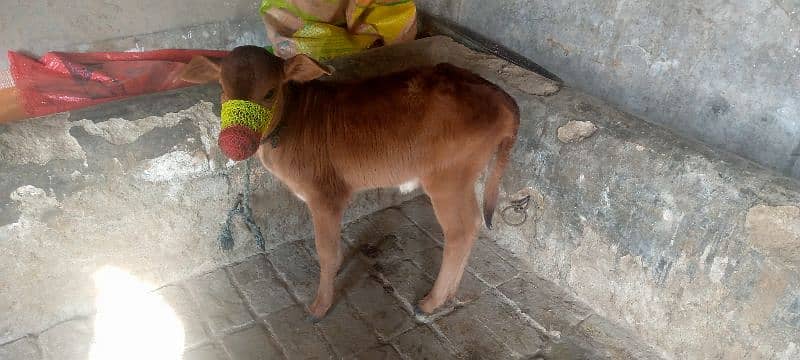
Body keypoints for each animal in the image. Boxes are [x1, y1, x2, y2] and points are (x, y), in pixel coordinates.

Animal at [180, 45, 520, 318]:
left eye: (270, 92)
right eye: (222, 89)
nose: (233, 143)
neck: (293, 120)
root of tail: (499, 95)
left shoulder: (325, 196)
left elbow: (326, 252)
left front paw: (320, 306)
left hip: (448, 179)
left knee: (461, 230)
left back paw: (431, 302)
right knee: (473, 224)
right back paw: (448, 295)